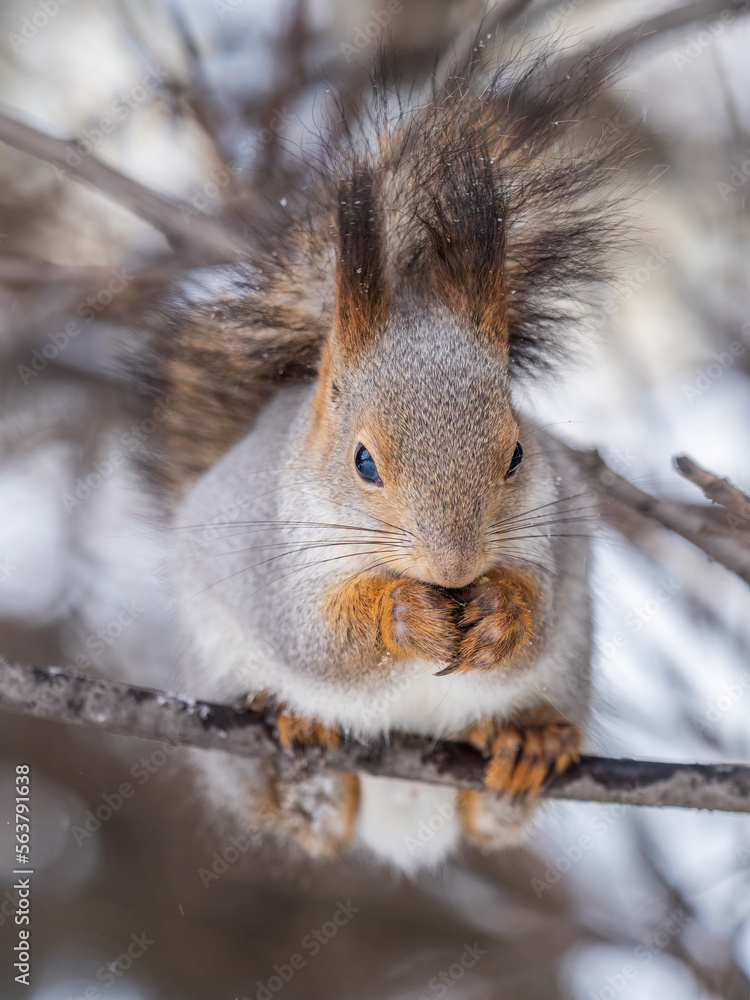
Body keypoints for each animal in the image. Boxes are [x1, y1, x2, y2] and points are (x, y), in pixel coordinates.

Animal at [142, 40, 626, 871]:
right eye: (363, 462)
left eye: (517, 454)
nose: (455, 568)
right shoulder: (269, 563)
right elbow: (321, 643)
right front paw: (402, 614)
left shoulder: (556, 534)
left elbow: (537, 607)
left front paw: (500, 611)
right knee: (306, 817)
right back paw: (295, 753)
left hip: (568, 668)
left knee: (491, 818)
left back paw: (526, 742)